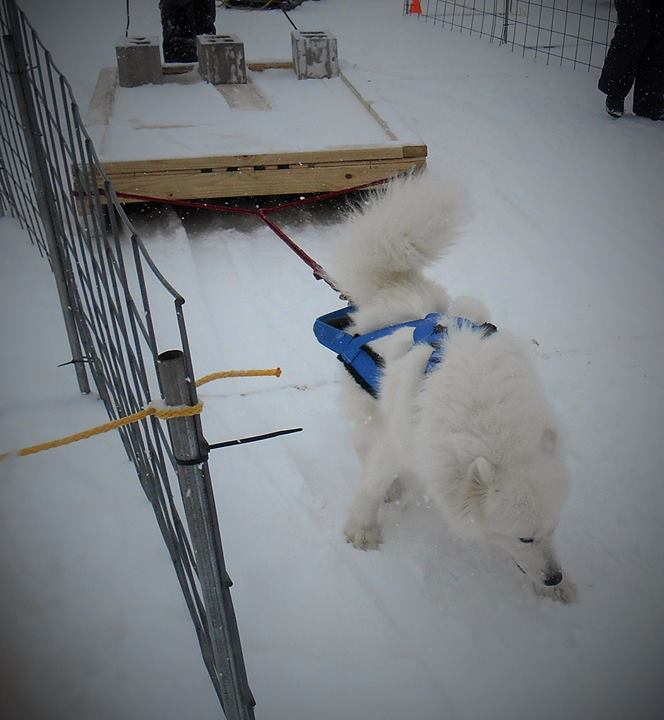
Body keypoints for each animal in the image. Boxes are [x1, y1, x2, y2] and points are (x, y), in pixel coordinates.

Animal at [330, 174, 572, 600]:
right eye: (524, 538)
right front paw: (362, 529)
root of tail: (397, 287)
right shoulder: (401, 438)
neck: (490, 427)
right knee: (363, 440)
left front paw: (558, 591)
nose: (554, 577)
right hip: (369, 397)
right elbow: (372, 483)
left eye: (553, 528)